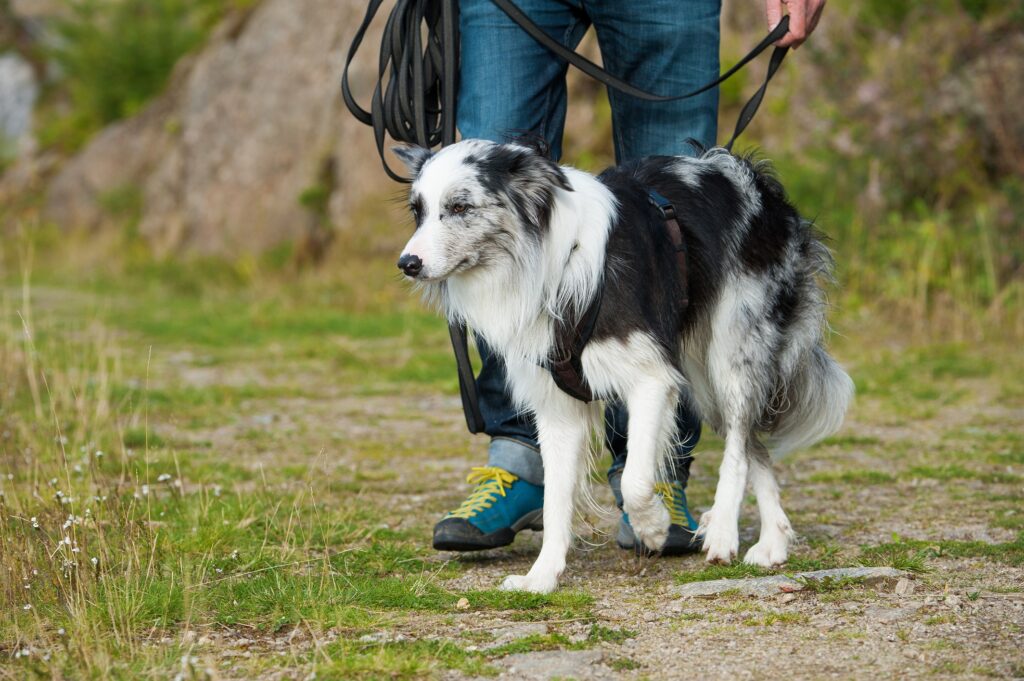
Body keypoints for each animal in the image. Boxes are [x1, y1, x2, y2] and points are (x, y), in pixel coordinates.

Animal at [395, 140, 851, 593]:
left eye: (459, 206)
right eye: (417, 210)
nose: (407, 264)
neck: (548, 260)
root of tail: (752, 176)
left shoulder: (653, 379)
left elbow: (634, 479)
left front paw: (654, 526)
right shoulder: (557, 406)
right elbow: (555, 499)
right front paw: (541, 576)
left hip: (733, 352)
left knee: (739, 444)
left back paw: (722, 530)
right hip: (700, 375)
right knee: (755, 445)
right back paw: (773, 541)